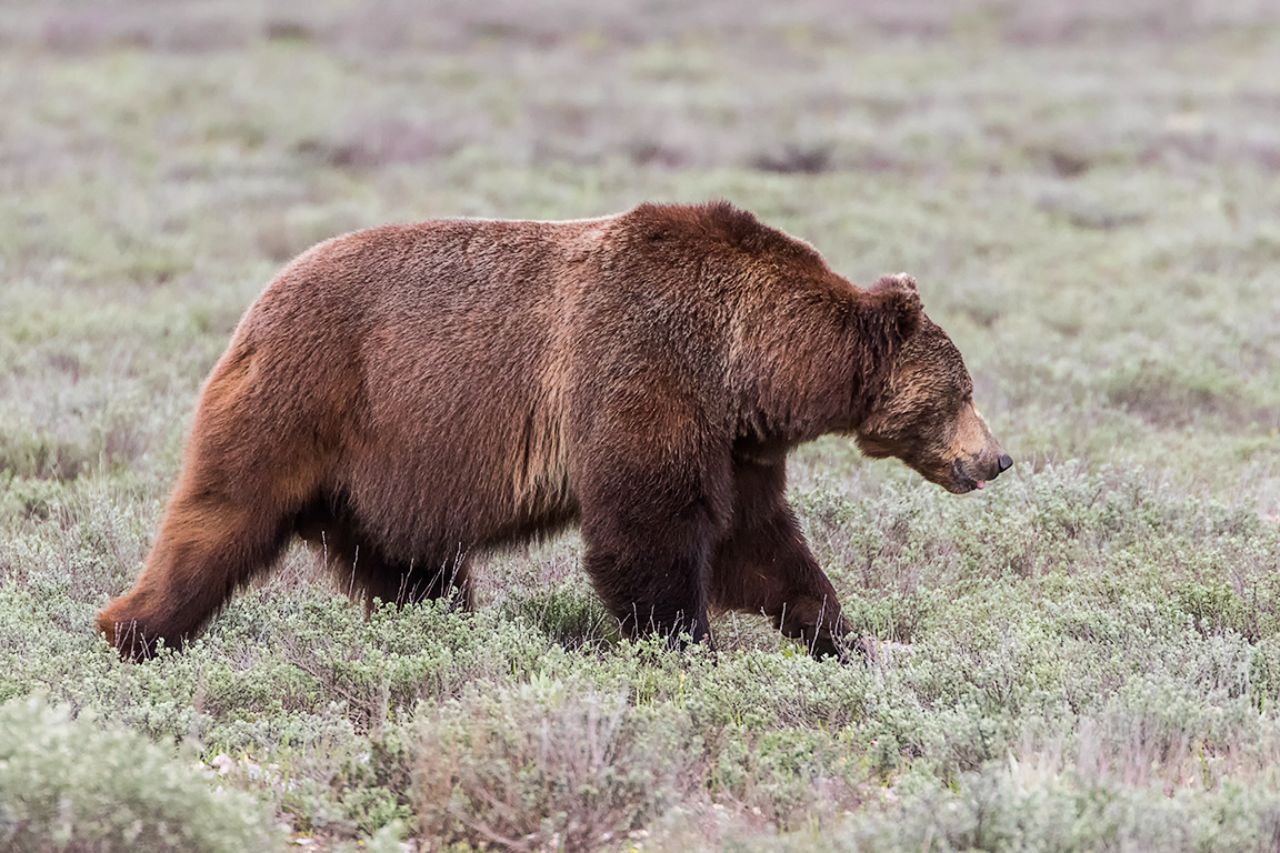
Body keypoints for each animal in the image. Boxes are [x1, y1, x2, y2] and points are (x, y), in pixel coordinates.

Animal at [98, 200, 1011, 661]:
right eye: (963, 389)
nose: (997, 457)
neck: (748, 364)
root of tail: (256, 303)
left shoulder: (735, 440)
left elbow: (763, 547)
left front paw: (848, 639)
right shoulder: (644, 374)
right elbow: (651, 530)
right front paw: (686, 643)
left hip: (378, 476)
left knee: (408, 565)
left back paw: (445, 628)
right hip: (309, 403)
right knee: (219, 518)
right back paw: (131, 630)